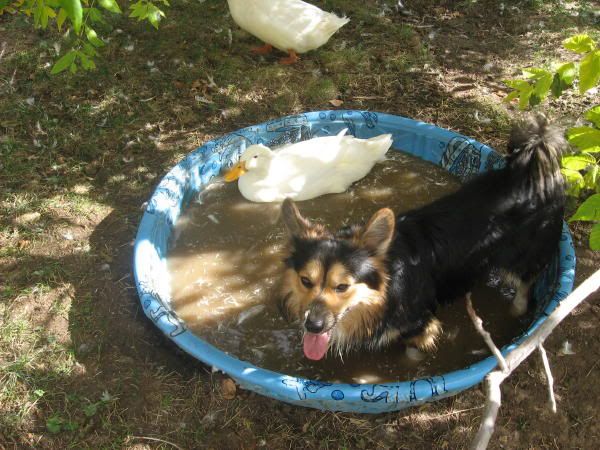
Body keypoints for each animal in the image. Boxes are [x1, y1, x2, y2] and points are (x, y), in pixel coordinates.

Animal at [276, 114, 568, 360]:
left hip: (525, 255)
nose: (312, 326)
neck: (389, 287)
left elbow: (413, 351)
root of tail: (528, 172)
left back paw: (518, 314)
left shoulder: (421, 324)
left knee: (527, 282)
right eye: (305, 281)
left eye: (342, 287)